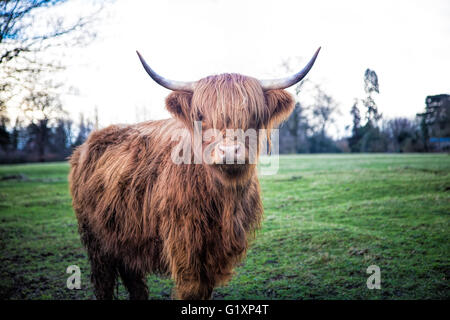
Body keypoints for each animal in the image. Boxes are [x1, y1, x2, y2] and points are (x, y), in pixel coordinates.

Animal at [68, 48, 320, 300]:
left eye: (254, 116)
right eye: (200, 116)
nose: (229, 151)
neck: (224, 202)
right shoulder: (185, 246)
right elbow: (191, 290)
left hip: (125, 237)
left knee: (134, 280)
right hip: (95, 239)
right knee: (104, 281)